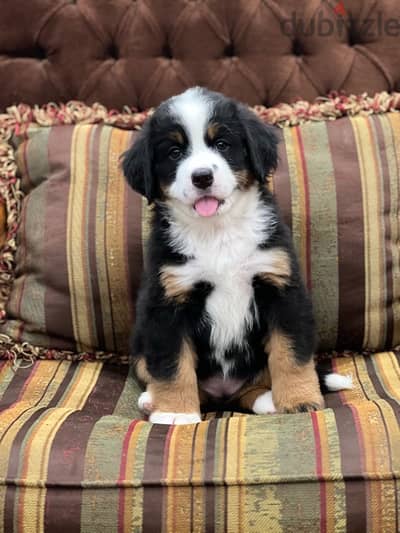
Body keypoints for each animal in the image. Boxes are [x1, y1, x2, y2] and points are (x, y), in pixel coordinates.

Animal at [122, 87, 350, 424]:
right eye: (174, 152)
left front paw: (299, 401)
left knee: (254, 385)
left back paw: (269, 400)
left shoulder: (281, 288)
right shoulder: (167, 302)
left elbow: (291, 354)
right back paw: (152, 401)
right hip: (139, 345)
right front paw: (175, 413)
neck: (219, 232)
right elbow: (172, 365)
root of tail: (224, 393)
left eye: (222, 144)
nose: (202, 176)